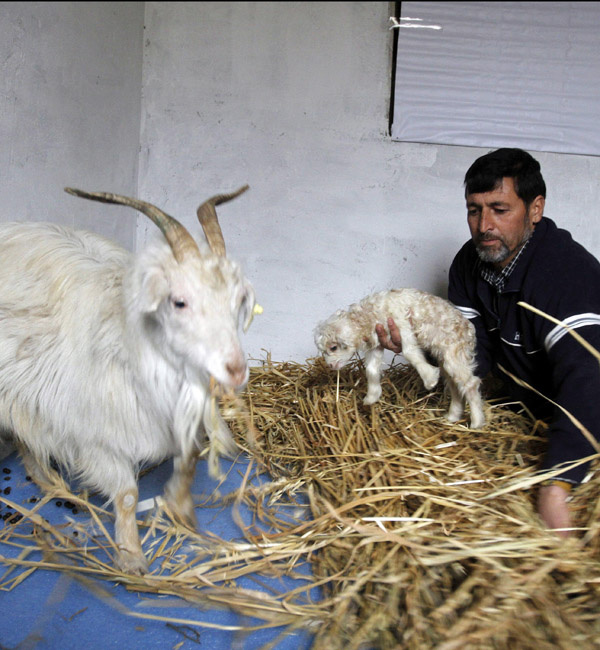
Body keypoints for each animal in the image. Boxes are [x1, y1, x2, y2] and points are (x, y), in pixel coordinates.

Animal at [0, 184, 255, 572]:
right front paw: (131, 557)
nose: (237, 369)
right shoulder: (94, 435)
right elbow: (128, 495)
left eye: (239, 299)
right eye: (178, 302)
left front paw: (180, 507)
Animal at [314, 288, 488, 430]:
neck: (369, 315)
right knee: (454, 385)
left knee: (470, 384)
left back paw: (477, 422)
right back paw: (452, 416)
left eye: (333, 347)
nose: (330, 365)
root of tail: (469, 331)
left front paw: (430, 378)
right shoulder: (378, 341)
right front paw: (371, 396)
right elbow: (371, 370)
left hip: (453, 351)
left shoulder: (401, 324)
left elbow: (409, 351)